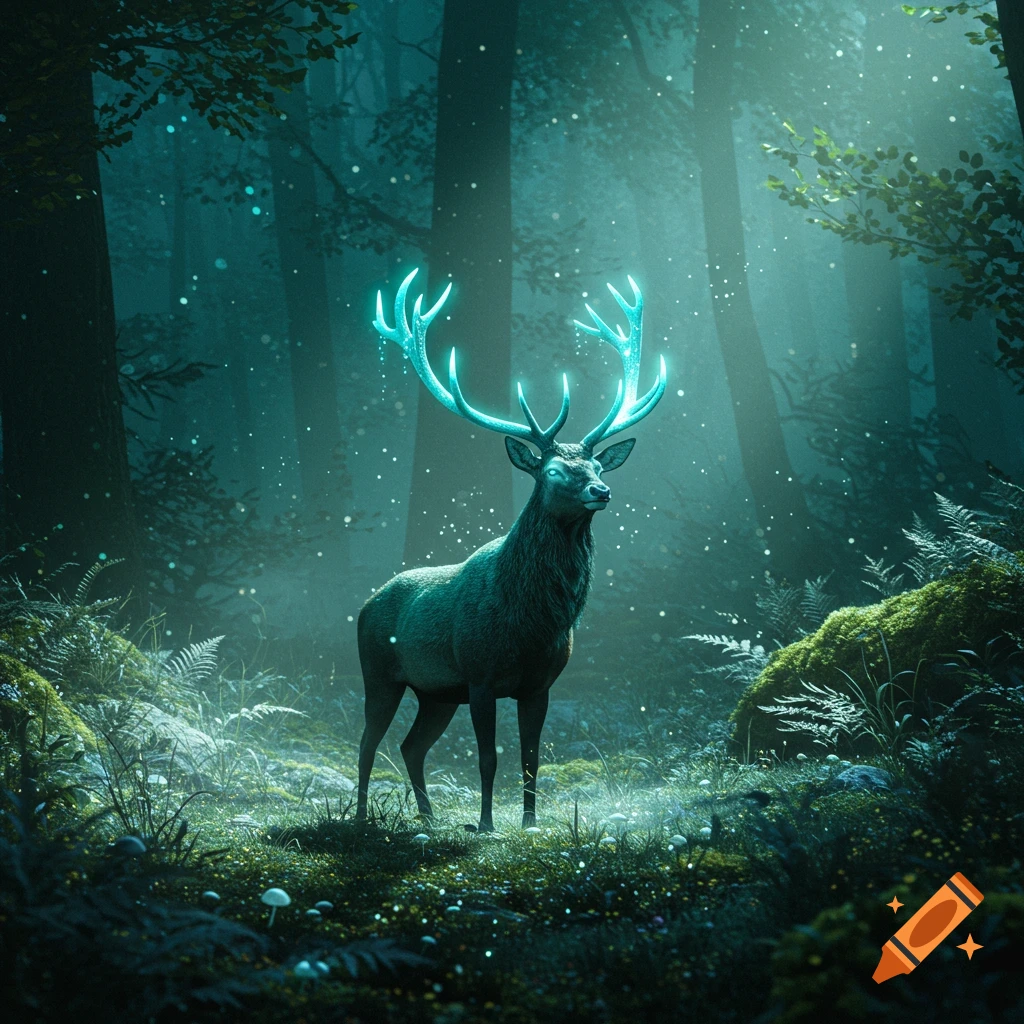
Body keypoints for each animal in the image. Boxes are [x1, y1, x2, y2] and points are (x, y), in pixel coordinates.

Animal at [356, 268, 666, 832]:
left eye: (599, 466)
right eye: (554, 471)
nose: (602, 491)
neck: (530, 623)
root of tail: (366, 603)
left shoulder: (539, 684)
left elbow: (531, 756)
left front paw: (529, 822)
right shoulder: (480, 677)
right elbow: (488, 757)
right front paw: (485, 825)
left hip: (437, 693)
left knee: (412, 746)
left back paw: (429, 818)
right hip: (380, 673)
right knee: (369, 742)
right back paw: (363, 815)